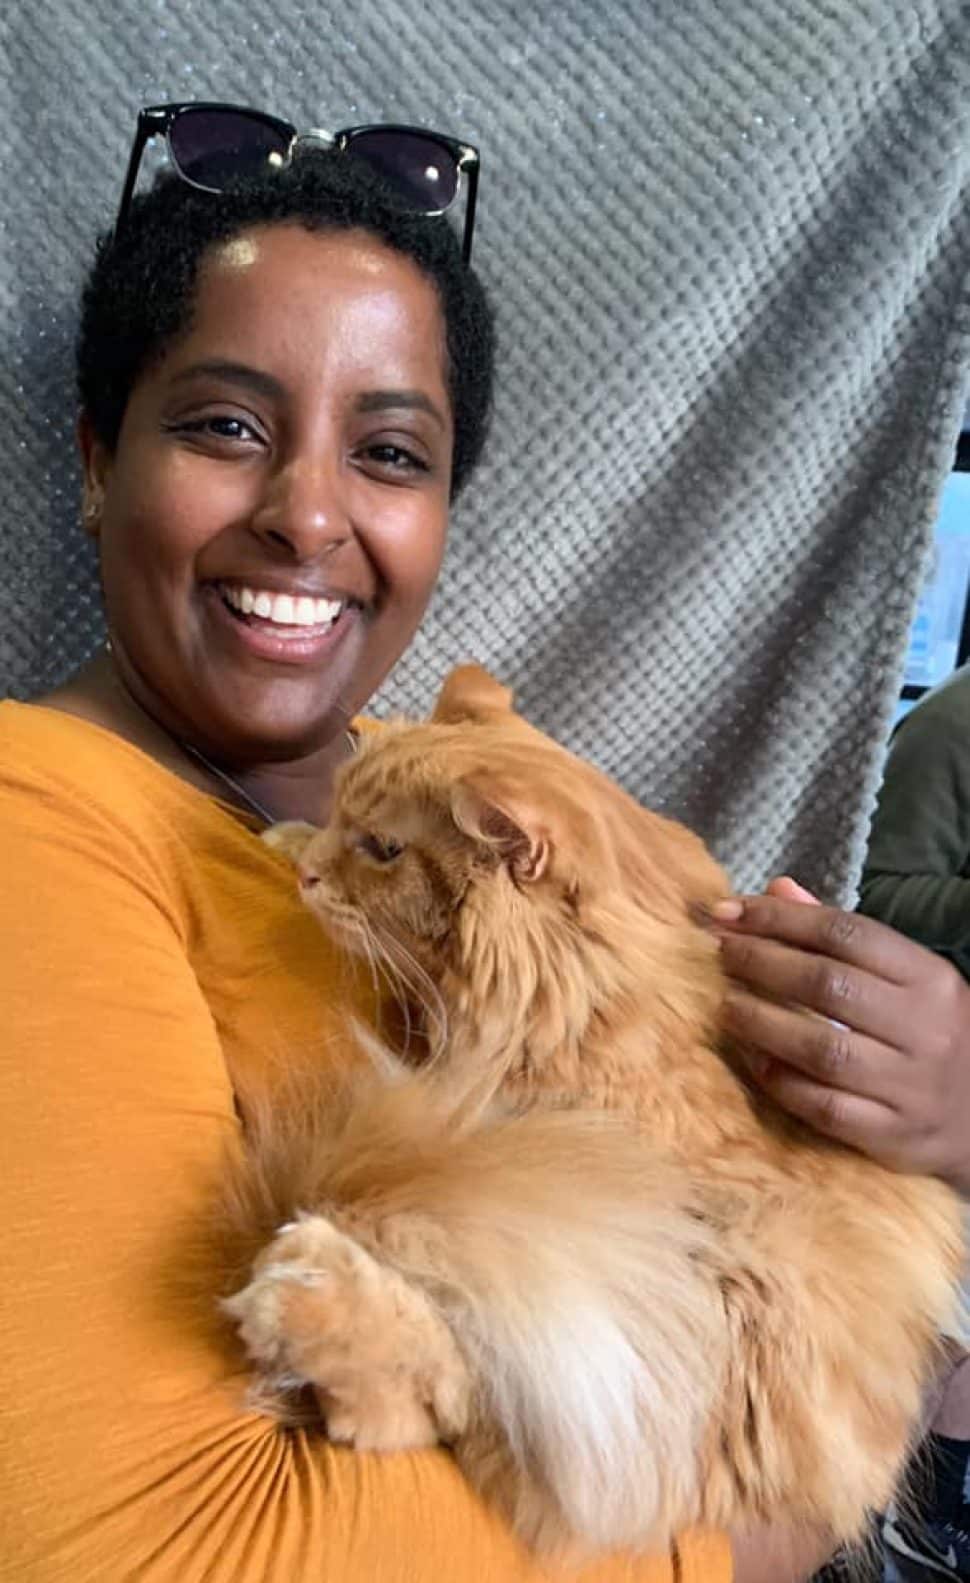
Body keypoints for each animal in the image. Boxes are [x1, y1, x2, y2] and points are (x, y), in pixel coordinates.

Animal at [224, 664, 962, 1557]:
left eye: (386, 850)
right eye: (341, 814)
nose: (310, 881)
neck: (586, 1004)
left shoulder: (742, 1290)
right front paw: (292, 838)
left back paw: (309, 1303)